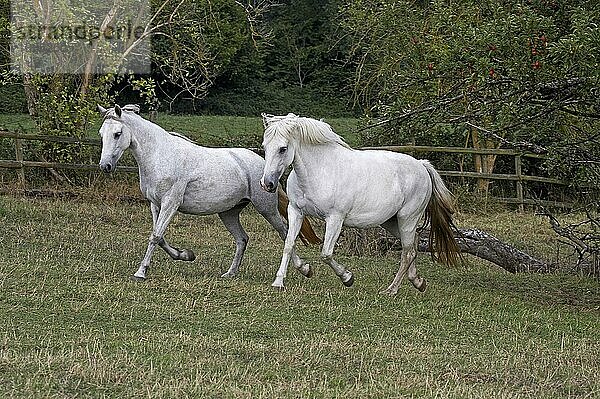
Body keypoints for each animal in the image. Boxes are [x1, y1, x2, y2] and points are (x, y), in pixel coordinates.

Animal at [97, 104, 318, 282]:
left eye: (117, 133)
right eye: (101, 134)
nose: (105, 166)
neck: (160, 155)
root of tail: (265, 168)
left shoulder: (170, 203)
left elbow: (155, 236)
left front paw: (140, 272)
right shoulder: (155, 204)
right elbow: (159, 237)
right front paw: (186, 255)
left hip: (267, 209)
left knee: (284, 233)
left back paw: (304, 269)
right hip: (228, 213)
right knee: (242, 239)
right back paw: (230, 273)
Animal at [258, 112, 460, 294]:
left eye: (283, 148)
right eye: (265, 147)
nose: (267, 184)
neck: (319, 171)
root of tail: (422, 165)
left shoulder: (335, 218)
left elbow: (326, 253)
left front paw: (347, 278)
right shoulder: (295, 211)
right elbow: (288, 243)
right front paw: (283, 280)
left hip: (407, 219)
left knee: (407, 252)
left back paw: (391, 290)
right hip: (391, 222)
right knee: (413, 245)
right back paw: (418, 282)